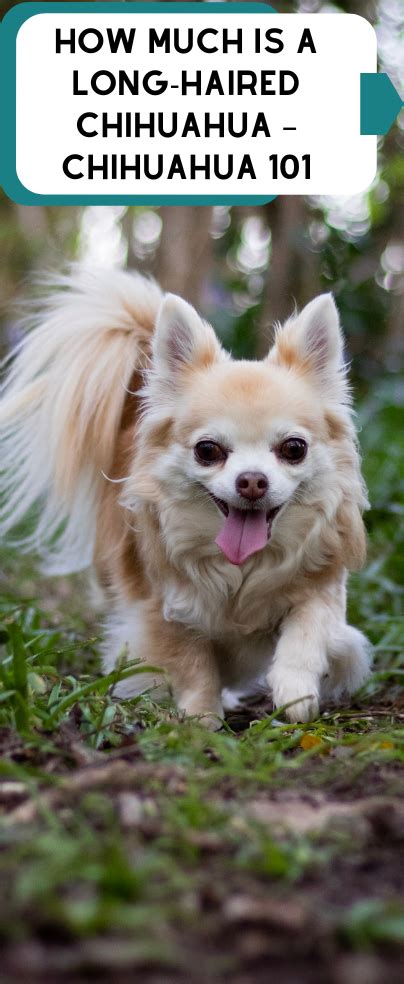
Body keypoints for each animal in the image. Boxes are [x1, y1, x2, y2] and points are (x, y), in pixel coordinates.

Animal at [0, 270, 370, 724]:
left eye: (294, 449)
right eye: (207, 450)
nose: (252, 481)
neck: (241, 568)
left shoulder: (323, 584)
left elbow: (308, 624)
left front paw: (295, 690)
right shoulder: (162, 609)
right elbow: (193, 666)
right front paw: (200, 719)